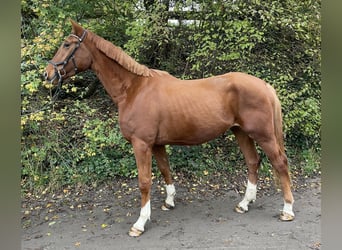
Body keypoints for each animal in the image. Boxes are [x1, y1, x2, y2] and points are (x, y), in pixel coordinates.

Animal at [44, 20, 294, 237]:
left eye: (67, 44)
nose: (47, 74)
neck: (133, 89)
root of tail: (265, 85)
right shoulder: (157, 144)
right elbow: (165, 170)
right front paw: (169, 202)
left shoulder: (141, 144)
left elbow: (144, 182)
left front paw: (140, 223)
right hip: (241, 132)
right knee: (253, 162)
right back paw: (244, 204)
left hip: (263, 135)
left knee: (280, 163)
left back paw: (287, 210)